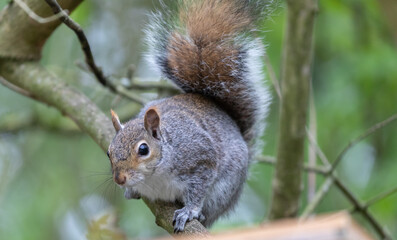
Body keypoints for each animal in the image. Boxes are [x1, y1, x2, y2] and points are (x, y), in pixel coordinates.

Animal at [106, 0, 270, 233]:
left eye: (143, 150)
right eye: (108, 152)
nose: (120, 179)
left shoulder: (200, 158)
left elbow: (199, 188)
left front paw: (189, 211)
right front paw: (131, 190)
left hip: (225, 190)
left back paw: (201, 215)